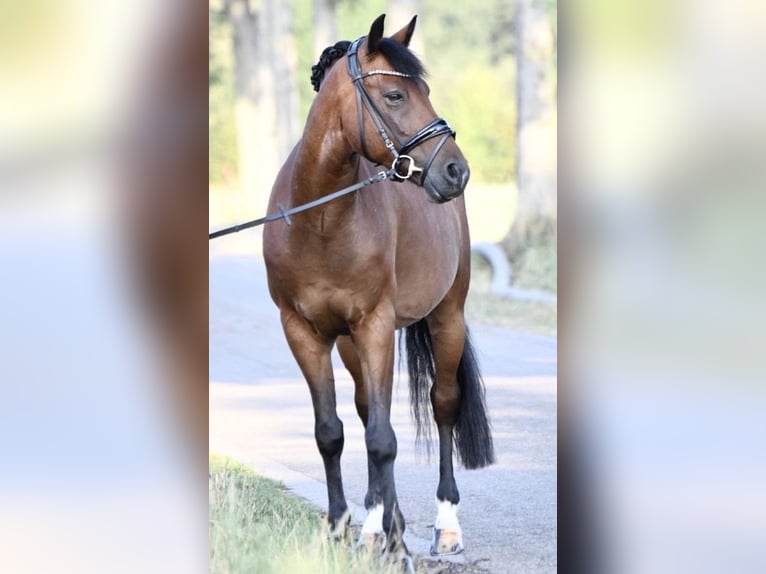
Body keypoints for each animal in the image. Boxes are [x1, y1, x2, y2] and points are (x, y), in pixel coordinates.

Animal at [260, 13, 496, 568]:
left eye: (425, 90)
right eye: (394, 95)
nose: (456, 170)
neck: (320, 219)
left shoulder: (376, 326)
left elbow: (384, 440)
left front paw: (398, 544)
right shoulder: (303, 331)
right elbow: (333, 432)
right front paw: (341, 529)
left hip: (446, 317)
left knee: (443, 404)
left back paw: (444, 528)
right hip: (349, 343)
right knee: (368, 409)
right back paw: (373, 525)